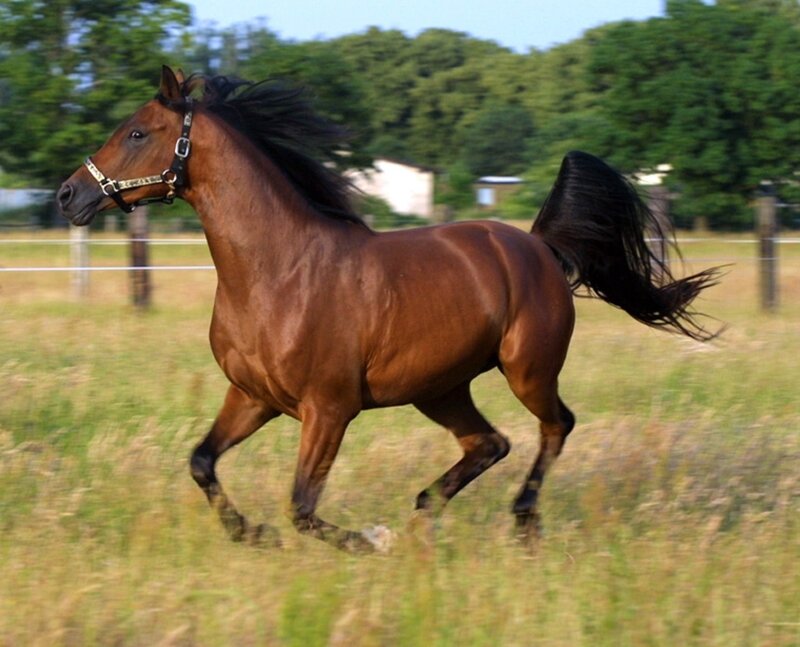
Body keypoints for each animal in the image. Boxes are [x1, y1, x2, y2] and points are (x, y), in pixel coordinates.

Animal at [57, 66, 719, 552]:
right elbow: (202, 463)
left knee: (555, 426)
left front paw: (368, 540)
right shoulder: (252, 398)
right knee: (490, 444)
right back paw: (425, 514)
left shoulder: (329, 410)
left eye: (138, 133)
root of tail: (540, 247)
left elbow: (302, 506)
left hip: (528, 369)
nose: (69, 194)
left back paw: (522, 521)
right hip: (440, 387)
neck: (278, 273)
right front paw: (253, 535)